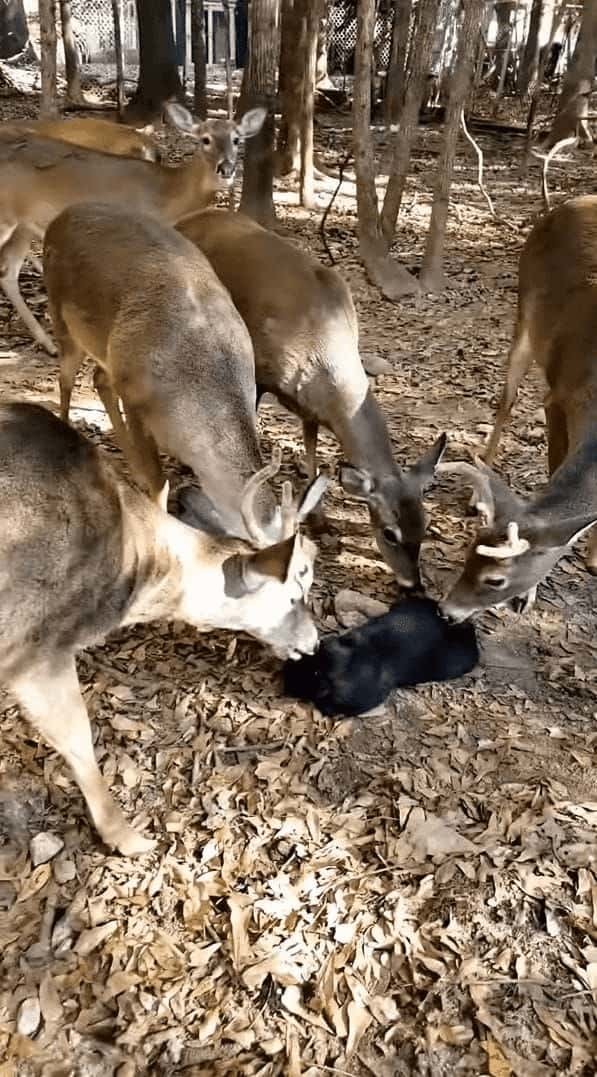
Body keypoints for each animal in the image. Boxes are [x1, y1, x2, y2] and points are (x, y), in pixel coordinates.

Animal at [0, 102, 262, 353]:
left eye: (237, 139)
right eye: (205, 139)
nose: (226, 168)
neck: (167, 194)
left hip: (23, 225)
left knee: (8, 271)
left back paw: (49, 344)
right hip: (6, 217)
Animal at [44, 201, 280, 538]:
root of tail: (60, 216)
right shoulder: (134, 394)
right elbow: (160, 483)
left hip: (105, 346)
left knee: (99, 377)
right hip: (63, 320)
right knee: (65, 378)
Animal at [174, 207, 443, 590]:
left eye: (425, 525)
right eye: (389, 533)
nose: (414, 584)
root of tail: (190, 216)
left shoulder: (310, 409)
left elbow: (312, 452)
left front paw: (318, 517)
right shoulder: (260, 372)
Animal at [437, 196, 594, 624]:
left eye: (495, 579)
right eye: (466, 555)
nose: (445, 612)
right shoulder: (559, 399)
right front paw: (530, 594)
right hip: (524, 309)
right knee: (506, 401)